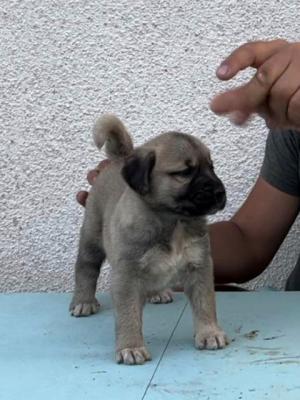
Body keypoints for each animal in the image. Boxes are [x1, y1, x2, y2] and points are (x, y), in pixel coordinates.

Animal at [70, 114, 229, 364]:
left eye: (211, 167)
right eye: (184, 172)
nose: (220, 192)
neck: (173, 222)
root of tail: (120, 160)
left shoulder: (199, 265)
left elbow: (205, 303)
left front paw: (209, 333)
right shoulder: (127, 273)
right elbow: (128, 313)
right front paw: (131, 346)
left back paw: (157, 293)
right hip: (91, 239)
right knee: (85, 269)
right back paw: (83, 301)